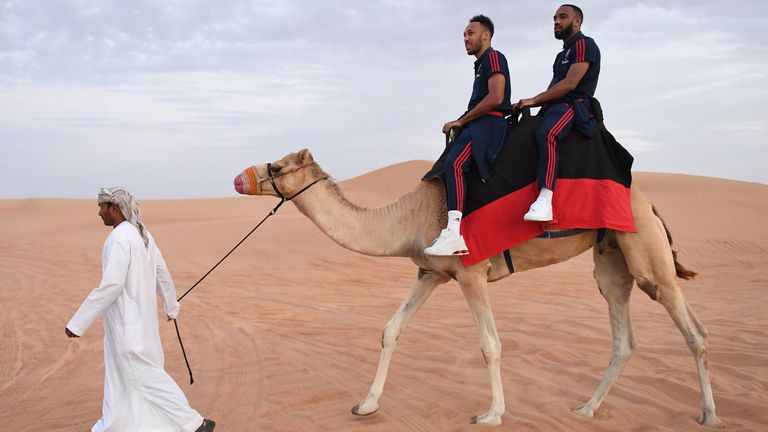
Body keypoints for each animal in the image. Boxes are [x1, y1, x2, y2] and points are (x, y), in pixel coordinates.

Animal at [232, 150, 720, 426]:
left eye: (277, 166)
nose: (239, 178)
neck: (410, 218)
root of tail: (649, 203)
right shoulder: (429, 273)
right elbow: (391, 329)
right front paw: (365, 406)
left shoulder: (471, 274)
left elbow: (490, 344)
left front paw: (492, 414)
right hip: (611, 259)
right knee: (623, 336)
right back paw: (585, 410)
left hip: (646, 253)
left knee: (693, 330)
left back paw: (709, 415)